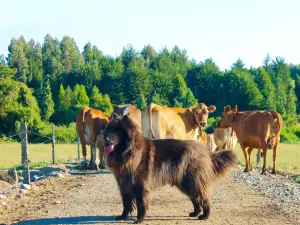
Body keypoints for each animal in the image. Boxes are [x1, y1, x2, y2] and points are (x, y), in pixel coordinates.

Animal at [104, 113, 238, 222]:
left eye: (117, 131)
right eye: (109, 130)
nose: (106, 139)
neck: (128, 151)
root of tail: (205, 151)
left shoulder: (140, 185)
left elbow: (141, 203)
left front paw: (139, 219)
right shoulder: (124, 184)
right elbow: (126, 203)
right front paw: (122, 216)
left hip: (193, 181)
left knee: (203, 197)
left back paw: (205, 216)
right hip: (185, 183)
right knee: (195, 198)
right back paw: (195, 213)